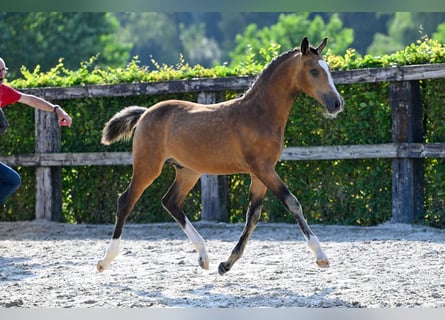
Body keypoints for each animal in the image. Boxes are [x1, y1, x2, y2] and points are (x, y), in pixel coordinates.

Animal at [97, 37, 344, 276]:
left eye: (328, 69)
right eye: (314, 70)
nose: (337, 103)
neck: (259, 114)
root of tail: (146, 113)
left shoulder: (260, 173)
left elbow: (253, 215)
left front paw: (226, 264)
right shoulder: (263, 168)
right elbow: (292, 203)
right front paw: (321, 256)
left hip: (188, 171)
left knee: (171, 202)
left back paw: (204, 256)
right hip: (147, 166)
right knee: (126, 201)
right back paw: (105, 261)